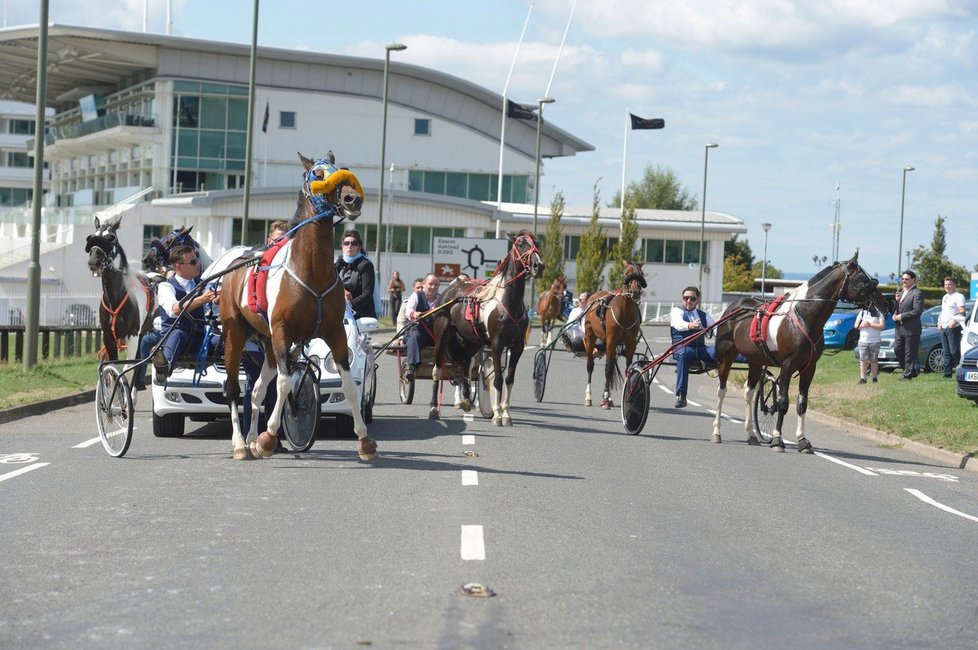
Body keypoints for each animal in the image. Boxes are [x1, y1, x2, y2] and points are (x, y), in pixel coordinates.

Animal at [86, 213, 156, 364]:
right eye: (92, 237)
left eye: (111, 238)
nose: (93, 262)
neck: (115, 300)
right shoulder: (108, 337)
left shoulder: (133, 336)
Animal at [219, 150, 376, 458]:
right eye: (318, 174)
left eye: (343, 170)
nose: (352, 199)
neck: (311, 273)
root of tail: (235, 263)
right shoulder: (283, 332)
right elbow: (284, 383)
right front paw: (269, 436)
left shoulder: (335, 333)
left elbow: (349, 386)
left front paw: (365, 440)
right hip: (235, 333)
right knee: (232, 389)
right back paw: (241, 443)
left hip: (266, 341)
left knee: (256, 390)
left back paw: (251, 439)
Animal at [430, 230, 544, 422]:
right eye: (521, 244)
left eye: (538, 244)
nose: (539, 265)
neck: (508, 305)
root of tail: (450, 290)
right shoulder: (497, 343)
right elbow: (497, 379)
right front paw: (497, 414)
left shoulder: (517, 345)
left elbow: (509, 379)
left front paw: (506, 414)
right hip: (442, 337)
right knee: (438, 370)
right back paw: (433, 408)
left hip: (469, 342)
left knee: (463, 367)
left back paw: (466, 398)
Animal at [580, 260, 648, 408]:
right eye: (627, 272)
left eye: (641, 274)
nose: (635, 292)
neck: (625, 312)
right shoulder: (611, 342)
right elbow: (609, 369)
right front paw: (605, 397)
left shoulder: (630, 344)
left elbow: (628, 368)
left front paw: (627, 392)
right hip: (591, 336)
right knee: (590, 366)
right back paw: (589, 397)